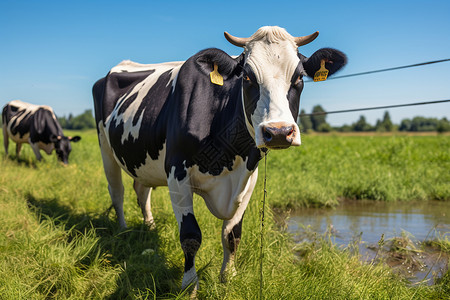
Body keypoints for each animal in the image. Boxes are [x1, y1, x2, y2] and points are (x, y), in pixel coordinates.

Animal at [92, 27, 348, 290]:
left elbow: (232, 234)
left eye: (298, 78)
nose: (278, 131)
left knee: (142, 190)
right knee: (117, 192)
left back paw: (149, 226)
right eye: (247, 77)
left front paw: (229, 277)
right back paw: (122, 231)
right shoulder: (176, 171)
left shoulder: (249, 175)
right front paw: (189, 284)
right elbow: (190, 235)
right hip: (105, 148)